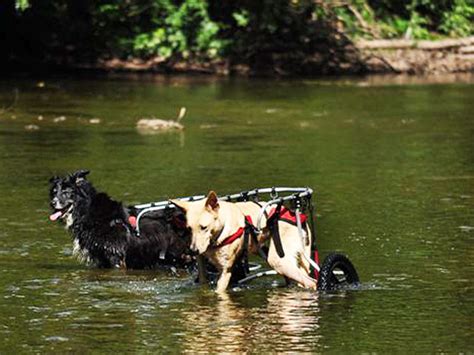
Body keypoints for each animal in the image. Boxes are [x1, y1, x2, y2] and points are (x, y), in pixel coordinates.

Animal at [48, 171, 193, 268]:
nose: (52, 203)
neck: (87, 211)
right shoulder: (101, 259)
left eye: (66, 192)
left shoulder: (115, 257)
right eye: (54, 191)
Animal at [172, 193, 316, 294]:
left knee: (312, 282)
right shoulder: (202, 265)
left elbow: (219, 292)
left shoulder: (225, 271)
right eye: (189, 228)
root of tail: (300, 218)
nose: (192, 251)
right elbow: (203, 282)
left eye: (204, 227)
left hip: (278, 260)